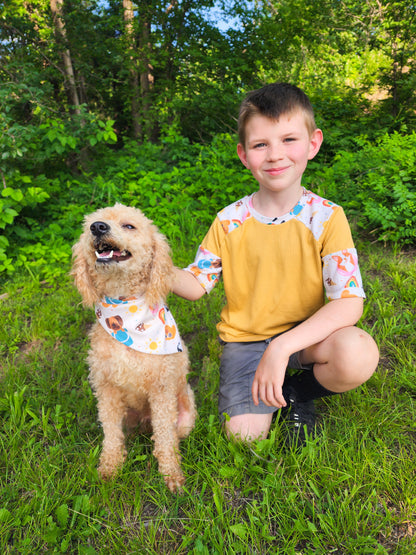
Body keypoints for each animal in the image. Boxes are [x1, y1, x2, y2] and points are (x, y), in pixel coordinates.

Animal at [71, 203, 197, 490]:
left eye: (129, 226)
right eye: (92, 223)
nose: (97, 227)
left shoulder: (161, 391)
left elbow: (165, 439)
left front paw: (171, 475)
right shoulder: (106, 390)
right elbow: (111, 435)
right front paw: (109, 467)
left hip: (185, 414)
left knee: (169, 434)